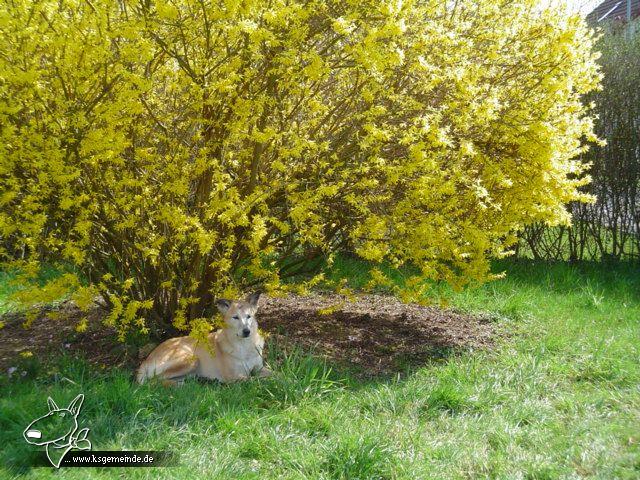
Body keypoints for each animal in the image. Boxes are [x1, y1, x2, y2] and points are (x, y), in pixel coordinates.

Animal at [138, 290, 270, 384]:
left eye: (249, 316)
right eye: (235, 317)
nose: (247, 331)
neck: (244, 345)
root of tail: (146, 360)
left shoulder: (259, 368)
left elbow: (273, 373)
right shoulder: (235, 377)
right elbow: (255, 380)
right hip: (191, 359)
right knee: (154, 381)